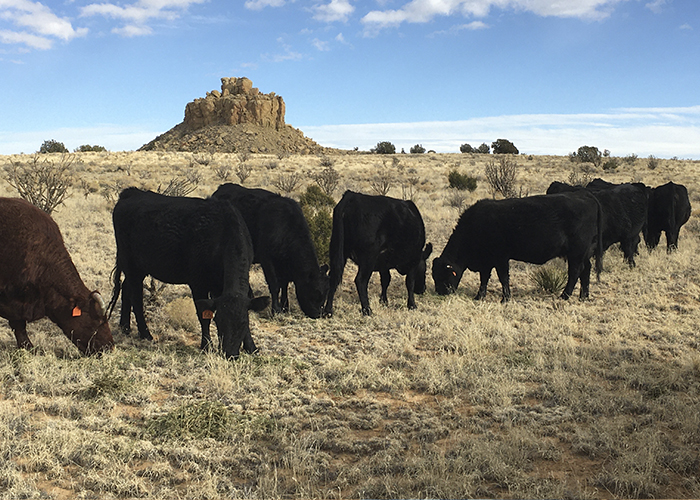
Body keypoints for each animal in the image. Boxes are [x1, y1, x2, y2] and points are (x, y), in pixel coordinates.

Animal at [108, 188, 270, 360]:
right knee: (136, 298)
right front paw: (206, 346)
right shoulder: (198, 283)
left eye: (243, 323)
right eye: (219, 321)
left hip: (138, 268)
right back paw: (145, 334)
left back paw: (125, 327)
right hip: (131, 264)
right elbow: (203, 317)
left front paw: (252, 347)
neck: (223, 234)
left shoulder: (220, 286)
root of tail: (131, 192)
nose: (230, 354)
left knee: (126, 288)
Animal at [212, 183, 330, 316]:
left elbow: (284, 285)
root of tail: (222, 188)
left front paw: (285, 307)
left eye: (326, 292)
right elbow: (274, 285)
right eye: (315, 291)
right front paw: (276, 310)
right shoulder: (267, 260)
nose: (319, 314)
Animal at [432, 190, 600, 300]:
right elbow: (484, 278)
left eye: (443, 275)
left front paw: (505, 298)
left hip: (576, 253)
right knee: (586, 270)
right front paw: (479, 296)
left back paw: (564, 296)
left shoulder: (500, 258)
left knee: (575, 272)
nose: (440, 292)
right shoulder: (486, 261)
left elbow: (503, 278)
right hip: (583, 253)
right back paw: (583, 296)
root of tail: (585, 195)